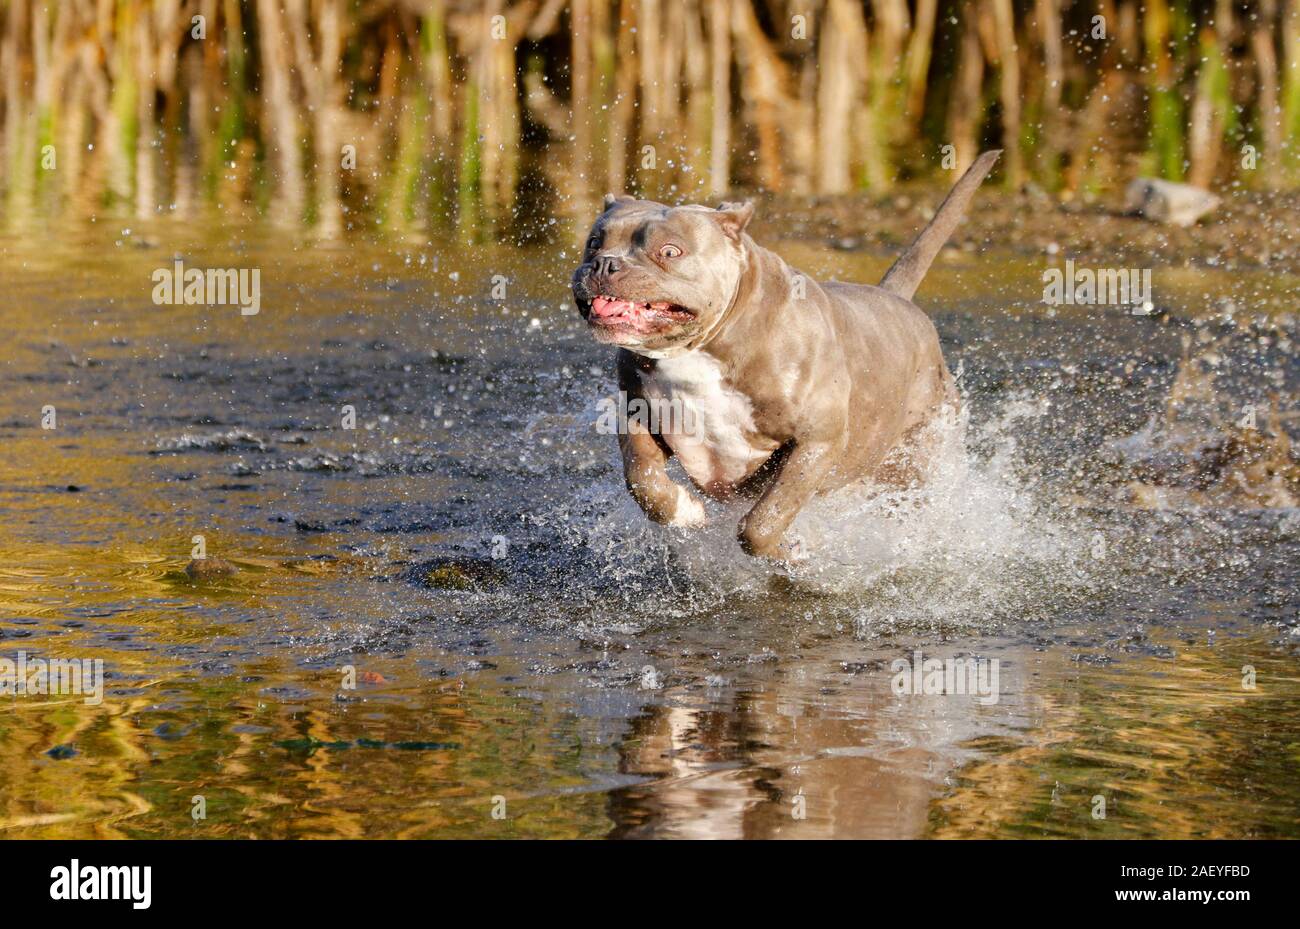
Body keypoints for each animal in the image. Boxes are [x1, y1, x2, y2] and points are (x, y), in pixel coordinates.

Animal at [574, 152, 998, 558]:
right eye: (594, 242)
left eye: (669, 250)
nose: (604, 263)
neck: (703, 349)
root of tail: (897, 298)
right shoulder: (637, 413)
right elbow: (643, 480)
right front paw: (685, 511)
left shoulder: (817, 440)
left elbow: (766, 518)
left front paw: (790, 552)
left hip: (915, 455)